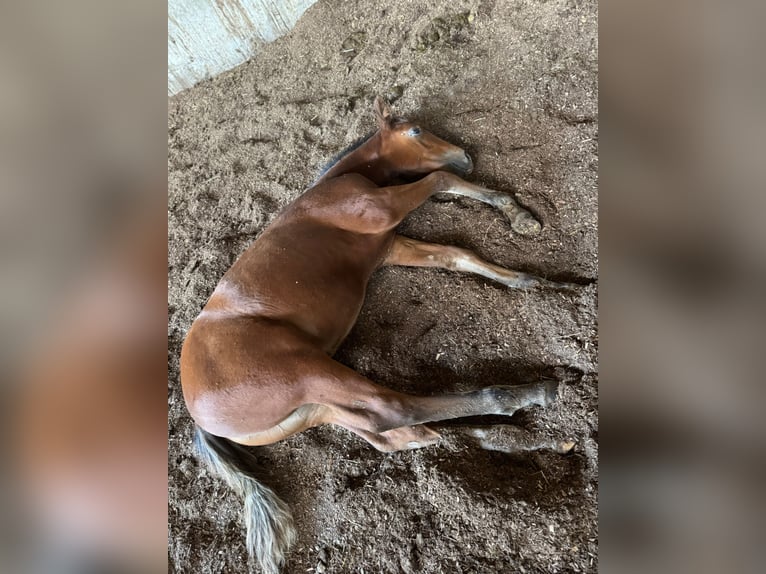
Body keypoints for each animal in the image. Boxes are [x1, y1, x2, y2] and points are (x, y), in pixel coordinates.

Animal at [180, 96, 576, 573]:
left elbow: (458, 256)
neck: (331, 187)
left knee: (399, 435)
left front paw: (543, 280)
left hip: (317, 408)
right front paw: (516, 213)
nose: (466, 155)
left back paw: (535, 438)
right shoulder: (381, 210)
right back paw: (529, 394)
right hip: (305, 370)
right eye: (416, 131)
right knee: (395, 410)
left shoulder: (390, 245)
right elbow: (440, 181)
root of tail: (197, 416)